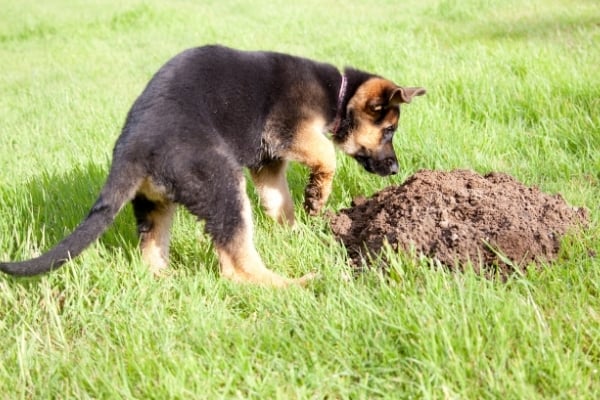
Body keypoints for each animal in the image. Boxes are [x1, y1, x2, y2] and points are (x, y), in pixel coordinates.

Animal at [0, 45, 426, 286]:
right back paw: (293, 284)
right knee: (236, 267)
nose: (395, 170)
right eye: (389, 130)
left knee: (152, 250)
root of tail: (133, 147)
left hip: (156, 204)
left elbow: (279, 202)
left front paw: (296, 230)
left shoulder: (267, 164)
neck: (337, 93)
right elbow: (327, 155)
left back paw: (169, 281)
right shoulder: (289, 130)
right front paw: (317, 196)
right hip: (222, 185)